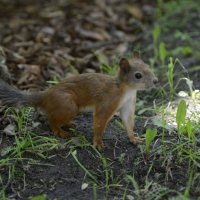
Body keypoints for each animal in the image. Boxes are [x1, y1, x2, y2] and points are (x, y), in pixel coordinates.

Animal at [0, 52, 158, 149]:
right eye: (138, 75)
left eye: (149, 67)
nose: (156, 81)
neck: (126, 90)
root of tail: (45, 95)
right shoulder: (107, 102)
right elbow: (99, 122)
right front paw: (98, 143)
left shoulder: (128, 105)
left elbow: (128, 122)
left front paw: (134, 139)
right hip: (68, 105)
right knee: (51, 120)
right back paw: (60, 131)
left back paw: (68, 124)